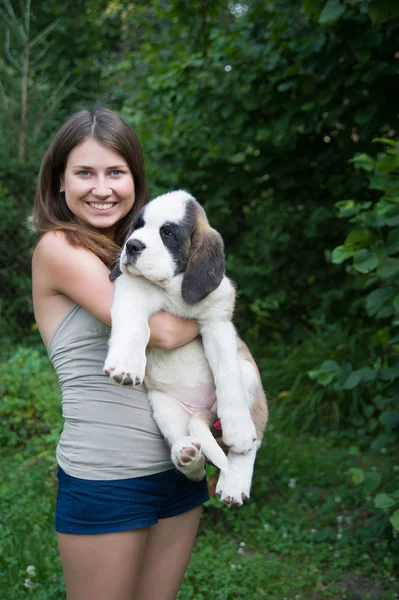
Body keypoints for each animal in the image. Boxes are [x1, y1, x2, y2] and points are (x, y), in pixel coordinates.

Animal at [104, 190, 270, 504]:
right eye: (138, 226)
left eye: (167, 232)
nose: (132, 246)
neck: (173, 287)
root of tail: (201, 412)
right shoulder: (132, 291)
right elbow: (135, 326)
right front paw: (126, 363)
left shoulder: (218, 324)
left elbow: (227, 376)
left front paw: (238, 430)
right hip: (162, 404)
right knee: (193, 455)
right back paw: (187, 455)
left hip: (249, 374)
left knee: (252, 440)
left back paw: (235, 478)